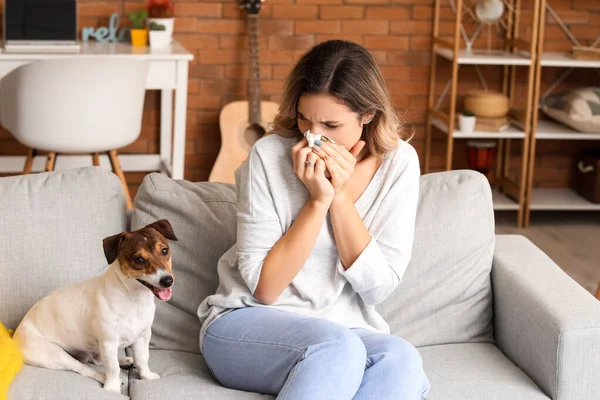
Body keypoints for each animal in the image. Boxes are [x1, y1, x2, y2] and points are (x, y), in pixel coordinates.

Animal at [13, 220, 178, 392]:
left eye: (164, 250)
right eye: (139, 259)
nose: (167, 280)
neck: (134, 298)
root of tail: (16, 336)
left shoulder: (142, 337)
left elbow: (142, 359)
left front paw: (146, 376)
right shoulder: (108, 342)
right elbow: (112, 368)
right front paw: (112, 389)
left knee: (97, 360)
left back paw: (125, 361)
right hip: (55, 355)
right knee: (84, 368)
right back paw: (104, 376)